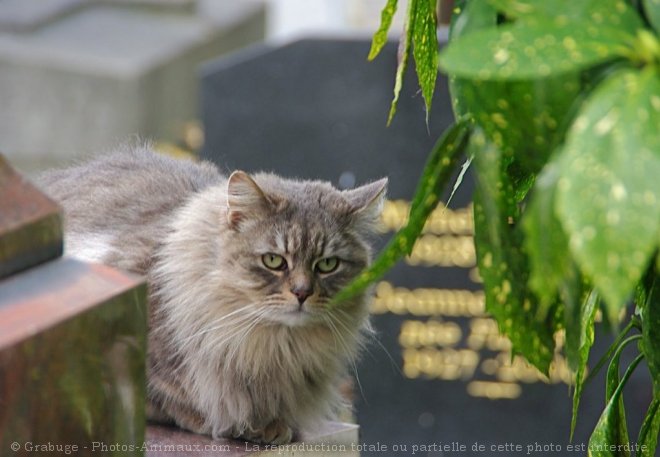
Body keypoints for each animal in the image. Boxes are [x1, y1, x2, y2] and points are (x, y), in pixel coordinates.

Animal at [37, 145, 386, 442]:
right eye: (273, 261)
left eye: (327, 265)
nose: (302, 293)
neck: (273, 347)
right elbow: (171, 398)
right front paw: (234, 425)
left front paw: (274, 426)